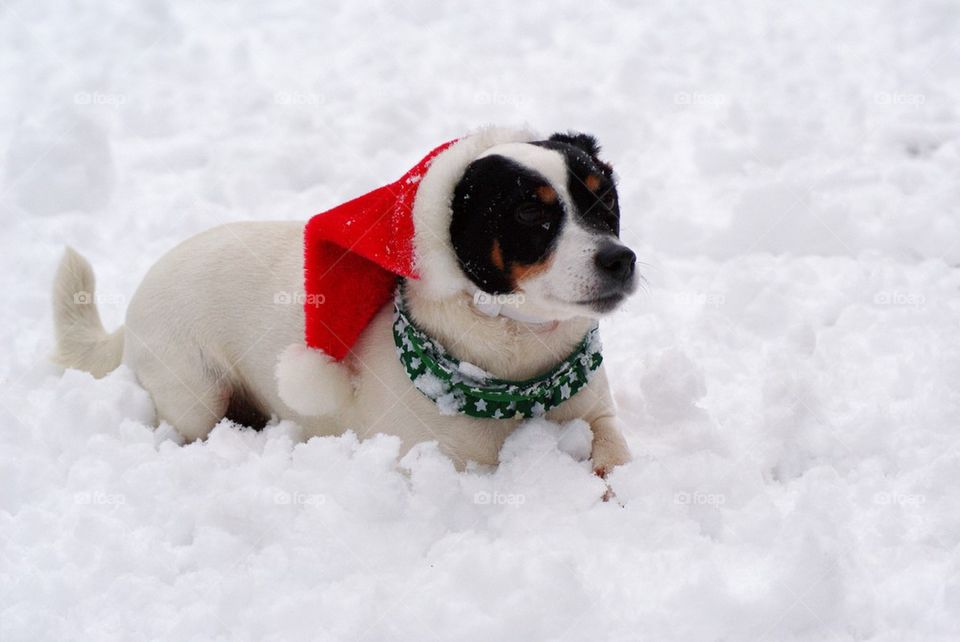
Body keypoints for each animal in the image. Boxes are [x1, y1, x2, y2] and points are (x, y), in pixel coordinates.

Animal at [50, 127, 636, 472]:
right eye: (528, 212)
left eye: (606, 197)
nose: (621, 259)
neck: (519, 366)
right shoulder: (435, 460)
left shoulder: (598, 413)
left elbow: (615, 453)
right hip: (195, 393)